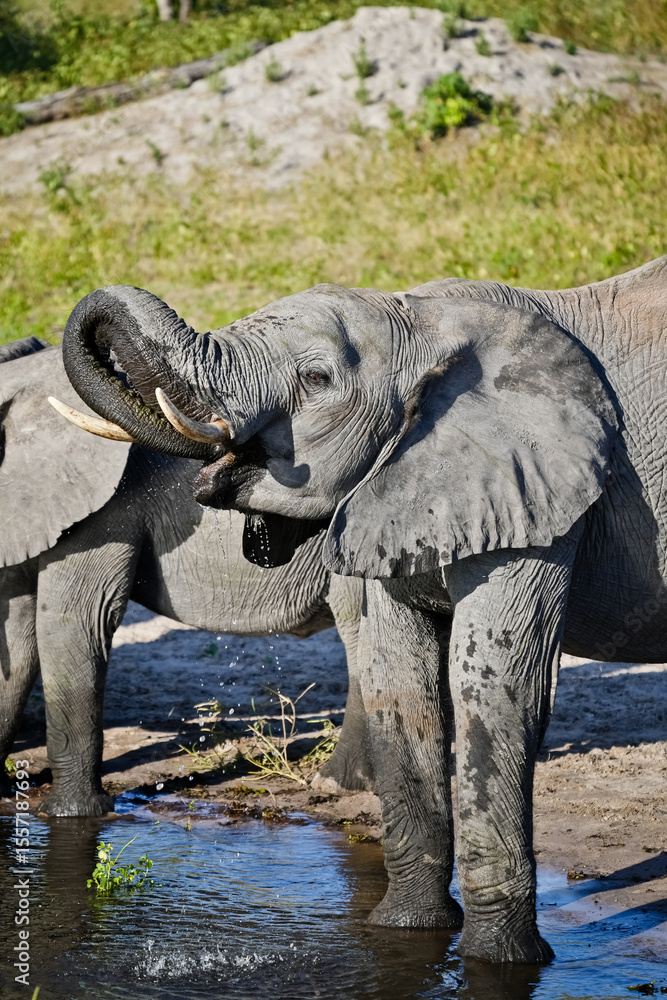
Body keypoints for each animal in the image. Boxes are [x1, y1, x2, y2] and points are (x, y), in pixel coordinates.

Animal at [55, 257, 667, 963]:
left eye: (317, 379)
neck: (425, 323)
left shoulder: (541, 494)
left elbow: (500, 689)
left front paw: (501, 964)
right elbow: (398, 680)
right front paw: (406, 933)